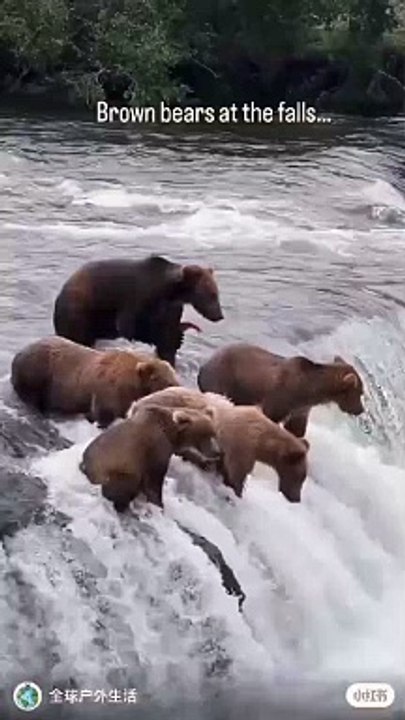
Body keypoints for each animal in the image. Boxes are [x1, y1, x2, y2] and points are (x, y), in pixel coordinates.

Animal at [11, 336, 179, 428]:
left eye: (174, 378)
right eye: (166, 381)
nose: (177, 386)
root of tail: (19, 353)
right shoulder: (109, 391)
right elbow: (104, 413)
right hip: (37, 373)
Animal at [53, 255, 224, 366]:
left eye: (216, 293)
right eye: (212, 294)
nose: (219, 315)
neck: (170, 291)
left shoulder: (170, 309)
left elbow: (167, 338)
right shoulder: (136, 297)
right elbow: (130, 328)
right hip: (79, 311)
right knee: (77, 335)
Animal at [80, 404, 221, 512]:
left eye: (214, 432)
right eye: (204, 434)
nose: (217, 452)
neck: (172, 434)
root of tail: (84, 468)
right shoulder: (155, 449)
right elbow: (155, 479)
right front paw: (159, 504)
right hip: (115, 470)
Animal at [128, 387, 310, 502]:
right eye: (299, 476)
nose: (295, 498)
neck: (261, 441)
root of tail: (136, 403)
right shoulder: (241, 447)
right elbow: (236, 474)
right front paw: (236, 490)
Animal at [197, 343, 365, 438]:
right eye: (360, 392)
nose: (360, 410)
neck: (310, 389)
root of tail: (205, 363)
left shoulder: (301, 409)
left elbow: (296, 428)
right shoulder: (282, 396)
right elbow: (271, 415)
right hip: (223, 378)